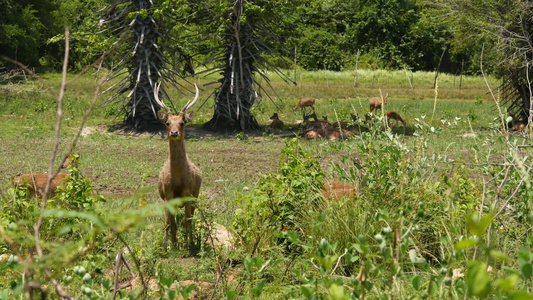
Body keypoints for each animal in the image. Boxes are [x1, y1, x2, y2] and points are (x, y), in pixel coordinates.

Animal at [156, 82, 204, 251]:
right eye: (167, 123)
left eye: (182, 123)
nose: (174, 133)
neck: (177, 178)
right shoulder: (168, 195)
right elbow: (169, 223)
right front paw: (167, 247)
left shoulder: (188, 193)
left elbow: (187, 222)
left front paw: (190, 245)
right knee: (171, 223)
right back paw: (172, 244)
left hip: (196, 196)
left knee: (189, 219)